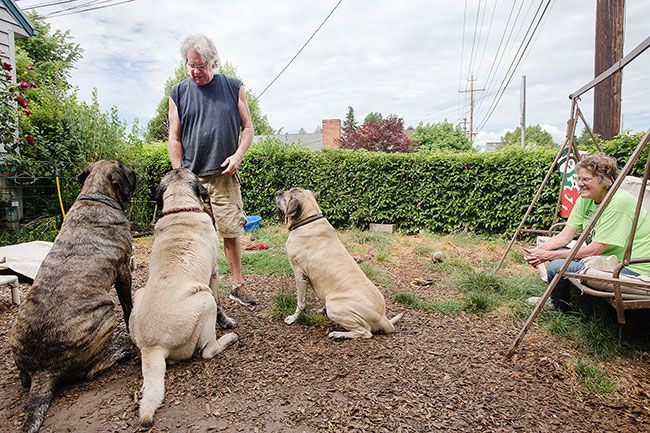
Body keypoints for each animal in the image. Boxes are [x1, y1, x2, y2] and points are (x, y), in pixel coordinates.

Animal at [11, 159, 137, 432]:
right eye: (125, 167)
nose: (135, 172)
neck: (96, 196)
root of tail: (42, 370)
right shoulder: (123, 268)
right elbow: (128, 305)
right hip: (105, 313)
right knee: (89, 372)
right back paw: (120, 352)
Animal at [128, 168, 237, 426]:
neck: (180, 208)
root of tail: (153, 348)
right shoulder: (214, 273)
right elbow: (221, 304)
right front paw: (226, 322)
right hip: (204, 299)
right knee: (208, 351)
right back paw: (228, 339)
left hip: (138, 293)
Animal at [274, 187, 400, 340]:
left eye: (285, 196)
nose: (277, 192)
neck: (308, 220)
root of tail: (383, 317)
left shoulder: (300, 274)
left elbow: (301, 302)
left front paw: (293, 318)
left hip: (335, 307)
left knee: (365, 332)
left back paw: (338, 334)